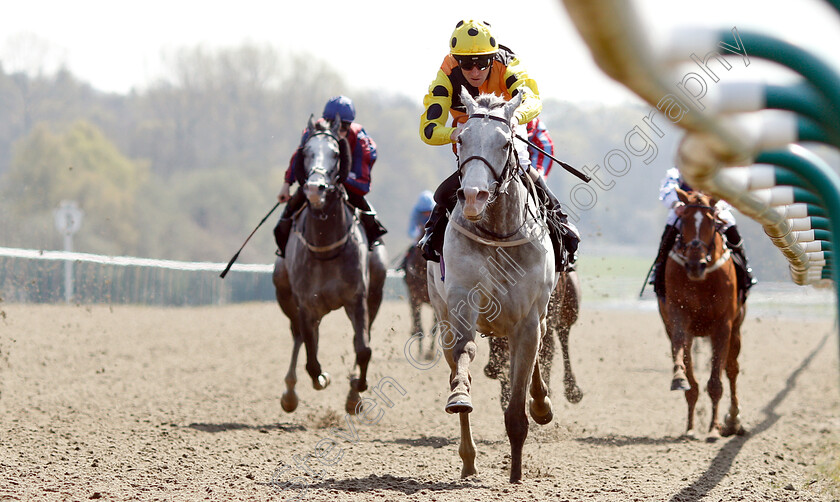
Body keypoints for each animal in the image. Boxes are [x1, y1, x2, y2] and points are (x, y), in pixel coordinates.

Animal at [272, 116, 388, 416]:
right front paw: (320, 378)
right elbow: (311, 357)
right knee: (298, 337)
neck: (326, 248)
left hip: (375, 294)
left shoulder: (358, 299)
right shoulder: (305, 303)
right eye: (306, 152)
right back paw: (289, 393)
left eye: (336, 153)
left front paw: (357, 388)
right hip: (285, 294)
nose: (315, 188)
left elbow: (363, 348)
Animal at [426, 89, 556, 482]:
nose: (473, 196)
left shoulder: (528, 320)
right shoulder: (462, 305)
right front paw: (460, 397)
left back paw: (542, 404)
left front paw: (515, 475)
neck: (498, 231)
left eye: (504, 142)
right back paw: (468, 460)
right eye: (462, 139)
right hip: (442, 316)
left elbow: (517, 407)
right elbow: (464, 356)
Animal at [656, 189, 748, 440]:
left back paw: (733, 420)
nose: (695, 265)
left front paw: (714, 429)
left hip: (736, 329)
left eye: (710, 221)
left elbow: (716, 382)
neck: (702, 281)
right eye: (684, 219)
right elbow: (684, 360)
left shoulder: (723, 326)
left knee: (732, 369)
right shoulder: (678, 317)